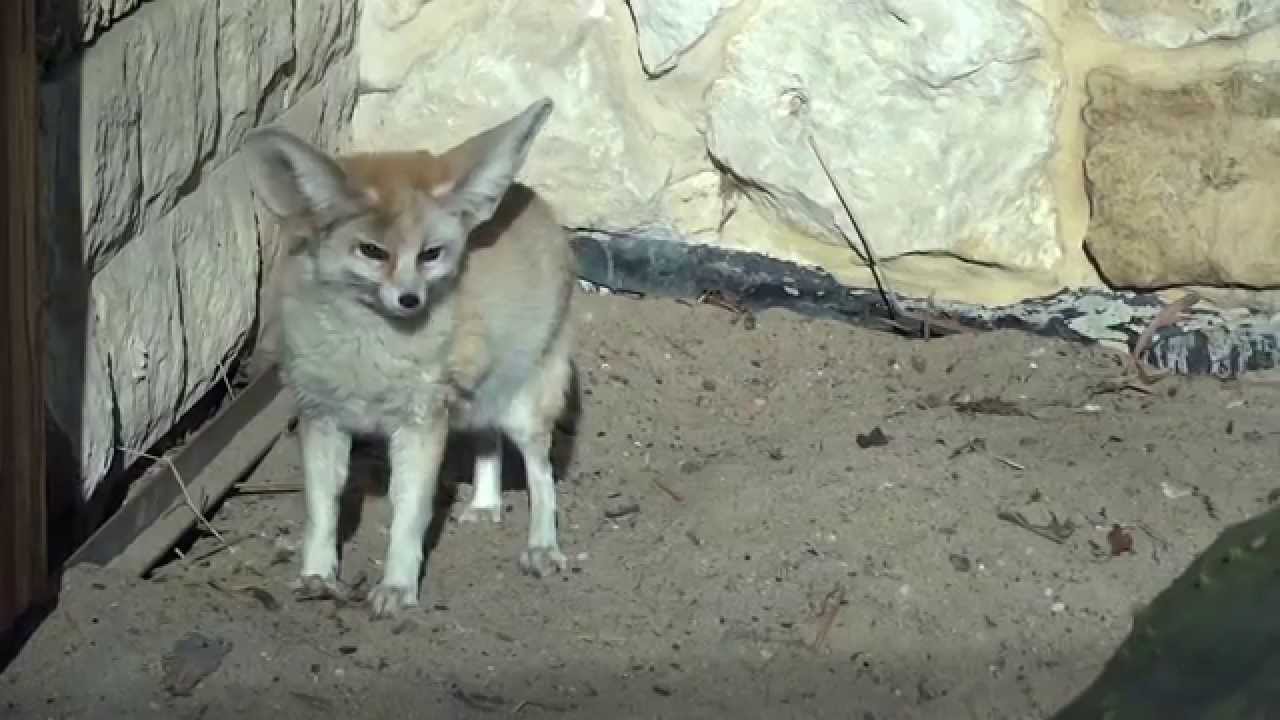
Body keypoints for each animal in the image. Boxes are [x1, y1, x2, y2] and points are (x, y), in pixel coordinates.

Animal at [241, 98, 576, 619]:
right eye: (372, 251)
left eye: (431, 254)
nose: (410, 300)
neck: (366, 351)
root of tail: (534, 199)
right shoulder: (321, 417)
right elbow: (322, 507)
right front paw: (317, 574)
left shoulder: (420, 424)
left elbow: (409, 512)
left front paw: (398, 585)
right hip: (474, 401)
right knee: (488, 441)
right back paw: (486, 501)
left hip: (520, 407)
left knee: (541, 473)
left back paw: (541, 545)